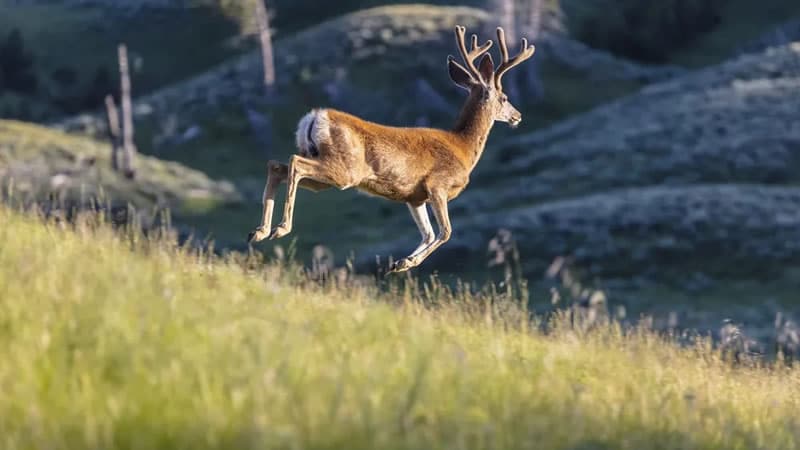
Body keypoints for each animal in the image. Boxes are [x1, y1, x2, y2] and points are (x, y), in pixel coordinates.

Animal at [247, 25, 536, 273]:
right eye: (504, 97)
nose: (518, 116)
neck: (462, 147)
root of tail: (315, 116)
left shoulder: (414, 196)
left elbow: (428, 232)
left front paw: (401, 263)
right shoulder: (437, 184)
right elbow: (446, 231)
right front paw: (407, 262)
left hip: (324, 173)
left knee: (278, 166)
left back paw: (259, 231)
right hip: (344, 169)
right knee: (294, 163)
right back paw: (280, 228)